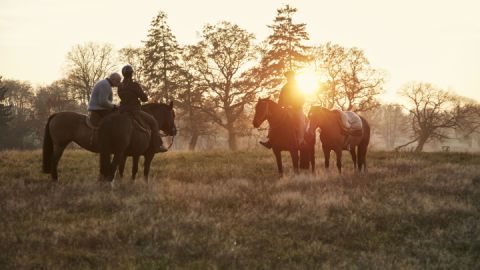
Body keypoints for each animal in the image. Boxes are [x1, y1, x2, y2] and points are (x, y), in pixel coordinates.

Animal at [42, 103, 174, 181]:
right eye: (172, 114)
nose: (175, 130)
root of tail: (55, 115)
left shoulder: (130, 154)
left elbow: (129, 169)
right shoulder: (147, 154)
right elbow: (143, 169)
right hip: (60, 145)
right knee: (54, 161)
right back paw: (55, 180)